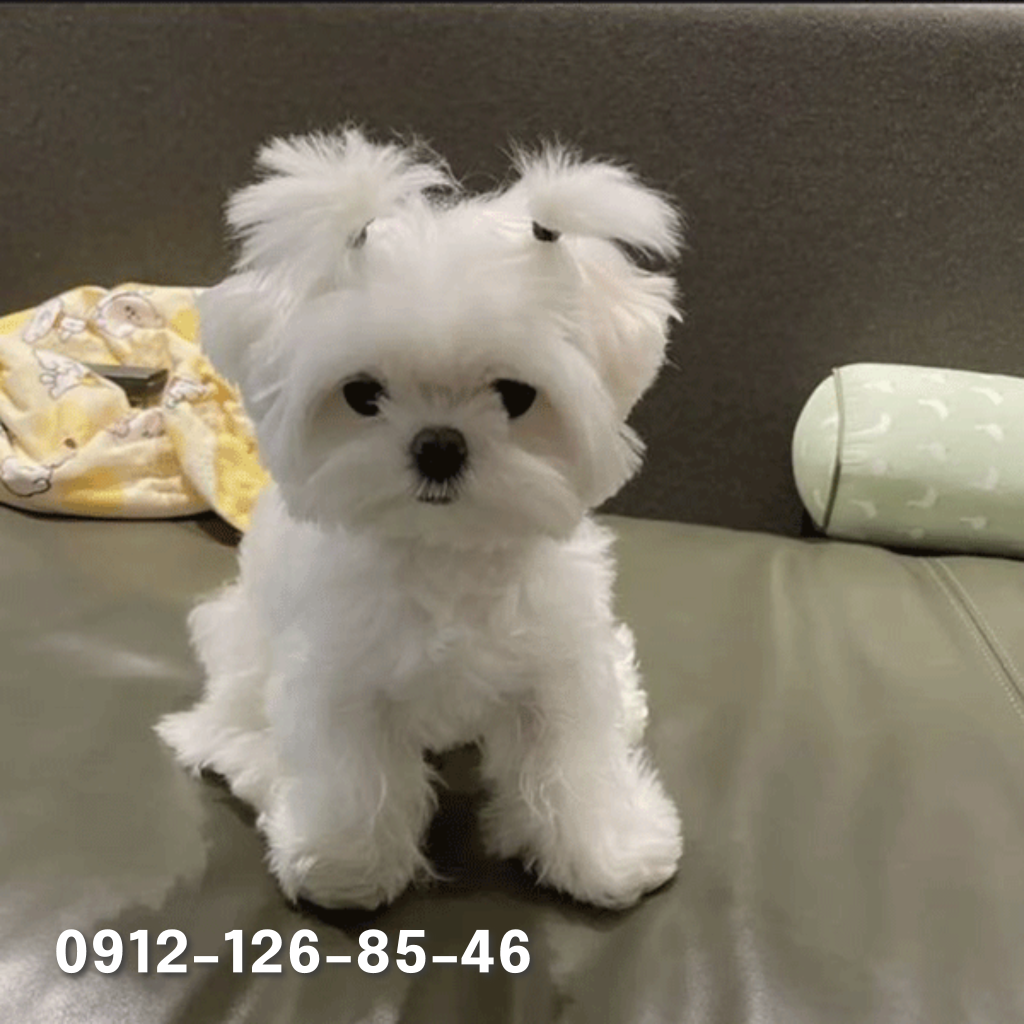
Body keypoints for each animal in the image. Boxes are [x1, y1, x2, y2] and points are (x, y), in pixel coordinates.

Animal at [155, 128, 684, 913]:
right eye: (362, 394)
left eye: (516, 395)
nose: (438, 444)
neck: (445, 553)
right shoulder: (340, 674)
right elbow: (355, 775)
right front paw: (346, 865)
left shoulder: (557, 665)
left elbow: (572, 759)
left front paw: (605, 850)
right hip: (242, 651)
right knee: (229, 728)